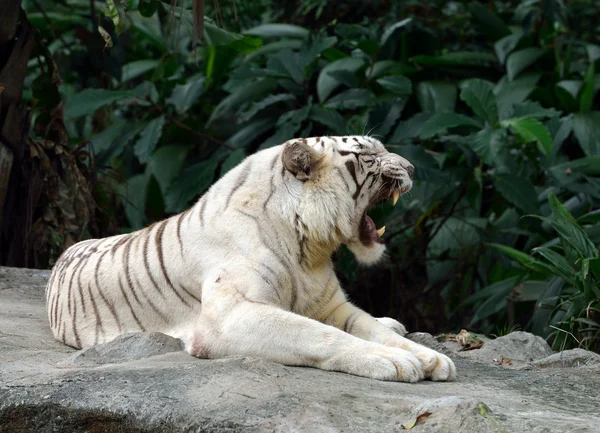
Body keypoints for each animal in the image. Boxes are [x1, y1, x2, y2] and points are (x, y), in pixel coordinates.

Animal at [47, 135, 458, 382]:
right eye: (370, 155)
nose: (412, 168)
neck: (308, 249)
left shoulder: (331, 306)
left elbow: (366, 327)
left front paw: (429, 357)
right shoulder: (228, 318)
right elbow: (318, 335)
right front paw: (393, 362)